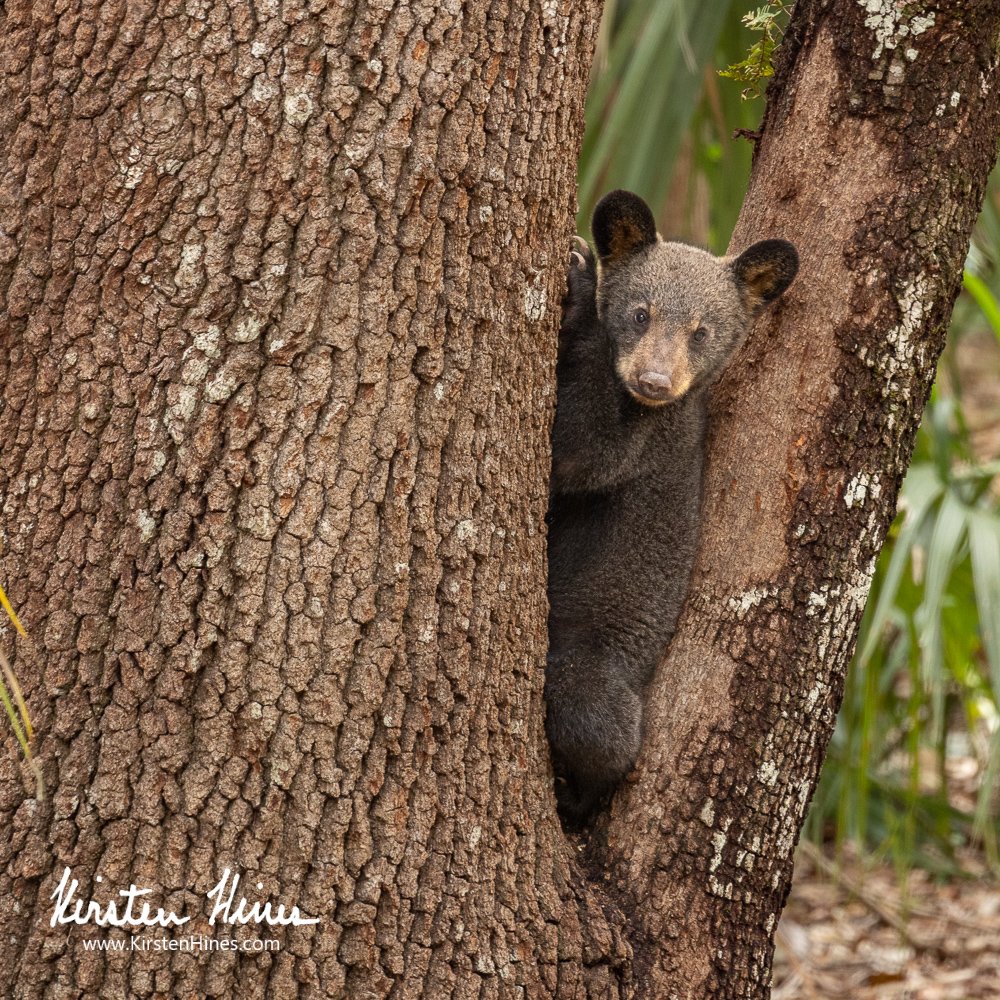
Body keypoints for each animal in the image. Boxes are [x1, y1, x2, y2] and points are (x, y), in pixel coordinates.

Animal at [545, 189, 798, 821]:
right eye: (641, 314)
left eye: (701, 331)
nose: (655, 380)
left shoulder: (646, 442)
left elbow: (581, 450)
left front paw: (580, 281)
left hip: (595, 661)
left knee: (598, 726)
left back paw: (575, 795)